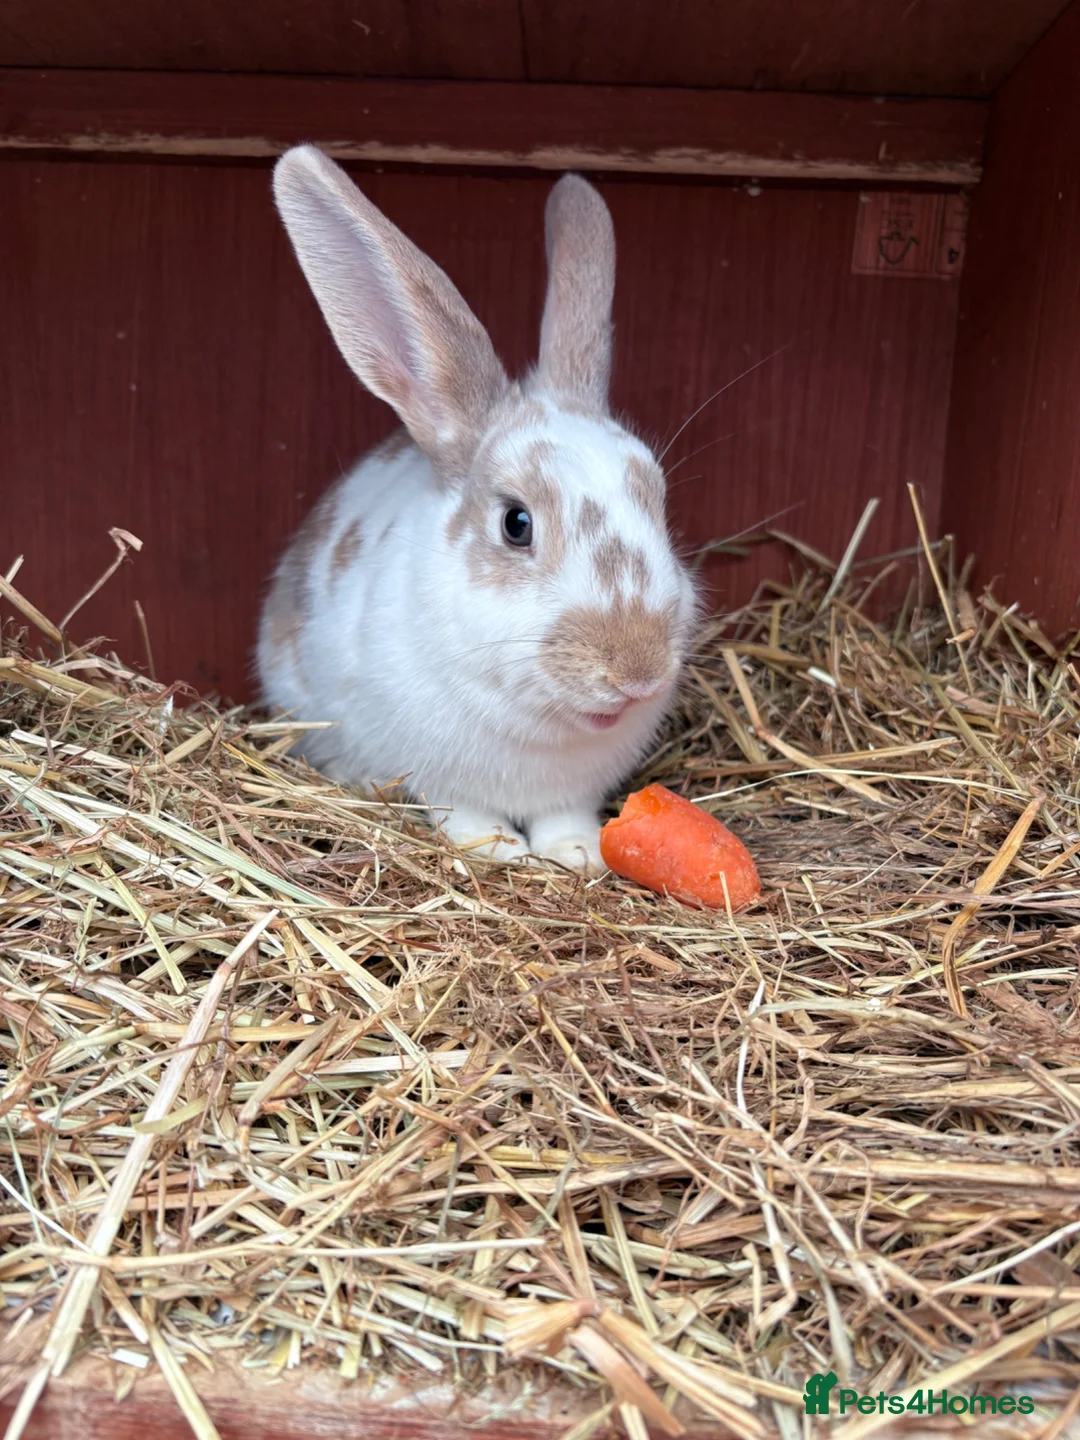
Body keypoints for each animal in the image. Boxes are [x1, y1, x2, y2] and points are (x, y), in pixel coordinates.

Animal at [257, 145, 699, 874]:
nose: (637, 673)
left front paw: (579, 853)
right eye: (516, 524)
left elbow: (565, 816)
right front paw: (496, 848)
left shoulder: (570, 790)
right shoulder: (432, 771)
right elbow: (459, 810)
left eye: (658, 500)